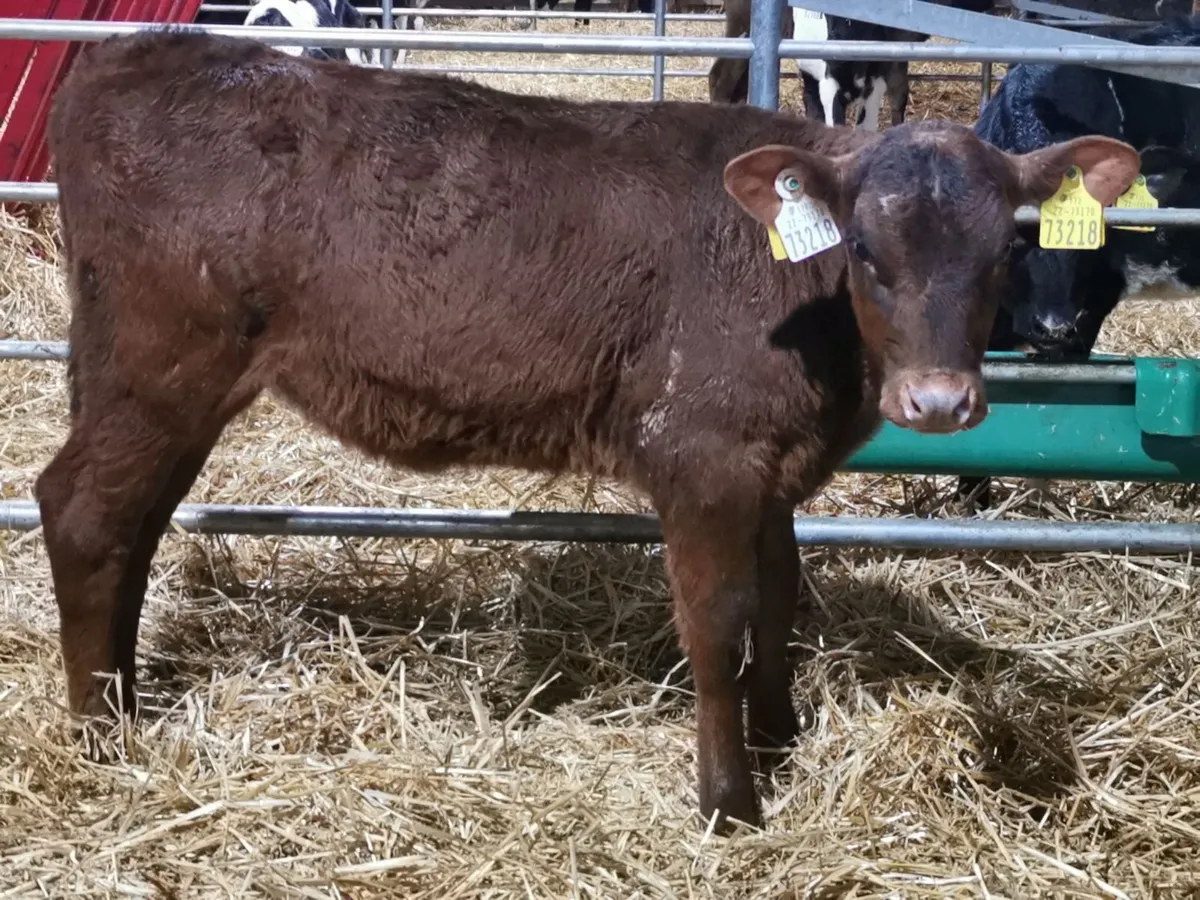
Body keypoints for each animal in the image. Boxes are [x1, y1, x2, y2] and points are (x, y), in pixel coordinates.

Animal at [39, 27, 1139, 831]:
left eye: (1008, 251)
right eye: (865, 250)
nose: (940, 404)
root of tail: (145, 51)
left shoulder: (769, 466)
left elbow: (780, 598)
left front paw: (781, 739)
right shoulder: (702, 456)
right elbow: (718, 624)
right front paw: (730, 804)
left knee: (131, 527)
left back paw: (122, 697)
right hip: (162, 362)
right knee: (84, 511)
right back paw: (102, 735)